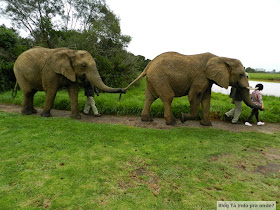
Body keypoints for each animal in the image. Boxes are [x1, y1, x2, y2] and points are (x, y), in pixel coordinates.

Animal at [124, 51, 260, 125]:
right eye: (241, 74)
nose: (261, 107)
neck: (222, 57)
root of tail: (148, 65)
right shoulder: (201, 77)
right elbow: (195, 96)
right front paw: (183, 118)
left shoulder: (208, 79)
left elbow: (206, 99)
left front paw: (206, 125)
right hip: (159, 77)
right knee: (168, 97)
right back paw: (172, 122)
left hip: (153, 79)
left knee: (149, 97)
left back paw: (147, 120)